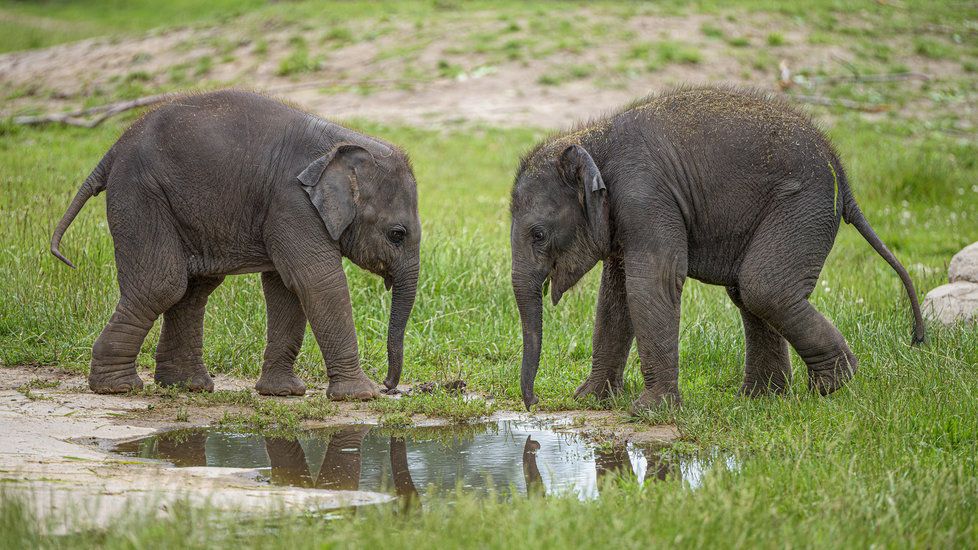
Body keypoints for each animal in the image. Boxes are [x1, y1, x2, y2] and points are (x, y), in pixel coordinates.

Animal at [52, 91, 420, 402]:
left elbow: (286, 288)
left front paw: (283, 393)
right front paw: (360, 395)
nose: (389, 386)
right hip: (140, 193)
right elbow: (316, 281)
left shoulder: (284, 209)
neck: (345, 143)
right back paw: (119, 388)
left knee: (194, 288)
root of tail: (115, 147)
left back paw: (188, 386)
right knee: (161, 285)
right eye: (397, 234)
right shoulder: (292, 202)